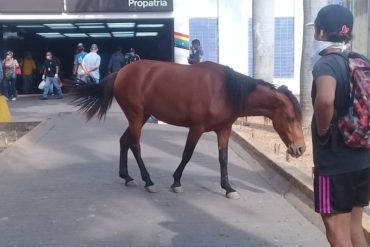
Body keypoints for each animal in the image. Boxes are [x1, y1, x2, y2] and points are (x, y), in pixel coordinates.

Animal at [71, 59, 304, 199]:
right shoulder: (196, 128)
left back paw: (127, 177)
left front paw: (228, 188)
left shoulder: (224, 130)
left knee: (124, 141)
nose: (300, 149)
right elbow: (187, 154)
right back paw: (148, 181)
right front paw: (176, 182)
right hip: (136, 116)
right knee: (135, 145)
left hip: (142, 116)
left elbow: (223, 158)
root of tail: (121, 72)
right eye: (291, 118)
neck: (224, 90)